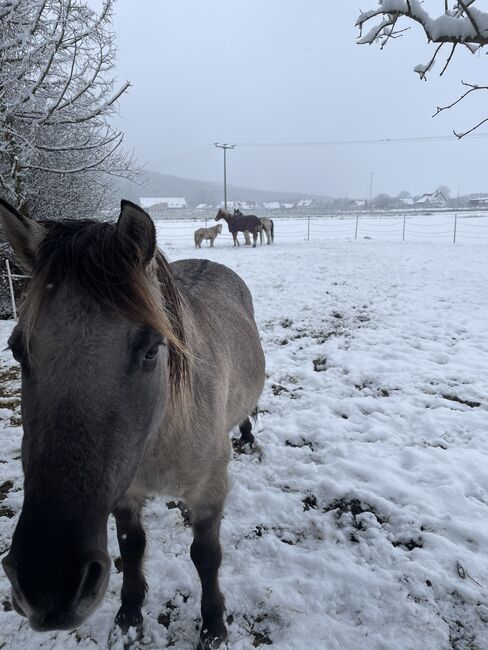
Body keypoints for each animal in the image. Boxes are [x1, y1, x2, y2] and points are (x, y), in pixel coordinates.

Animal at [0, 197, 264, 648]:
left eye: (150, 349)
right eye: (18, 349)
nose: (48, 583)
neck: (158, 441)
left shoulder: (210, 492)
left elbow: (206, 557)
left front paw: (213, 626)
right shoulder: (124, 494)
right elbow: (132, 546)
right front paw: (129, 612)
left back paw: (246, 436)